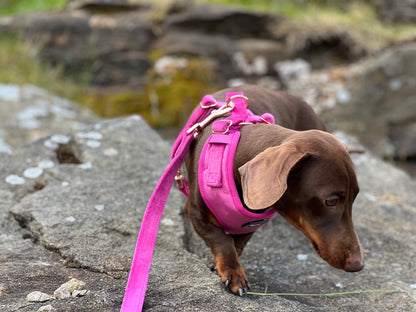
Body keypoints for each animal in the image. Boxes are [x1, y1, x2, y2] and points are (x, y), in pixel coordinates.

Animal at [184, 84, 362, 294]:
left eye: (354, 198)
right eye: (331, 201)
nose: (358, 265)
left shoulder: (252, 222)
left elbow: (238, 243)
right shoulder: (197, 213)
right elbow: (222, 240)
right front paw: (233, 271)